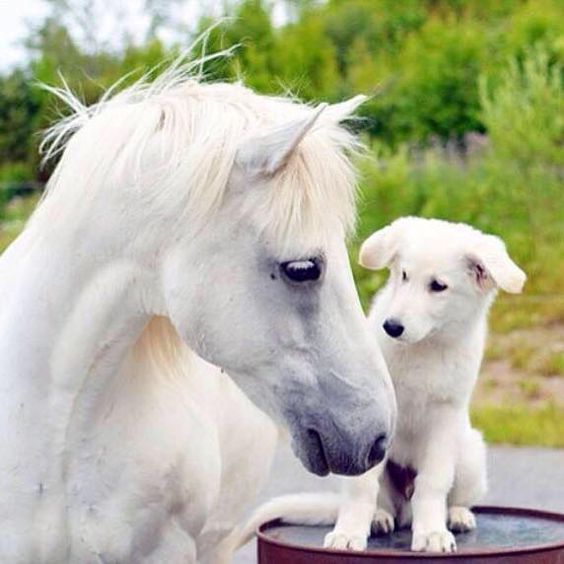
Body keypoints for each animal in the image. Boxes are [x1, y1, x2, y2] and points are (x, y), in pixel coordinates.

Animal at [324, 218, 528, 552]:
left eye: (438, 286)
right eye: (404, 275)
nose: (392, 326)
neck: (425, 347)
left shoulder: (444, 416)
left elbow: (433, 484)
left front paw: (432, 532)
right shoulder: (370, 421)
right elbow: (362, 487)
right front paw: (349, 532)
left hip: (469, 454)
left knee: (452, 497)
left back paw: (457, 516)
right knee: (384, 500)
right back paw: (379, 516)